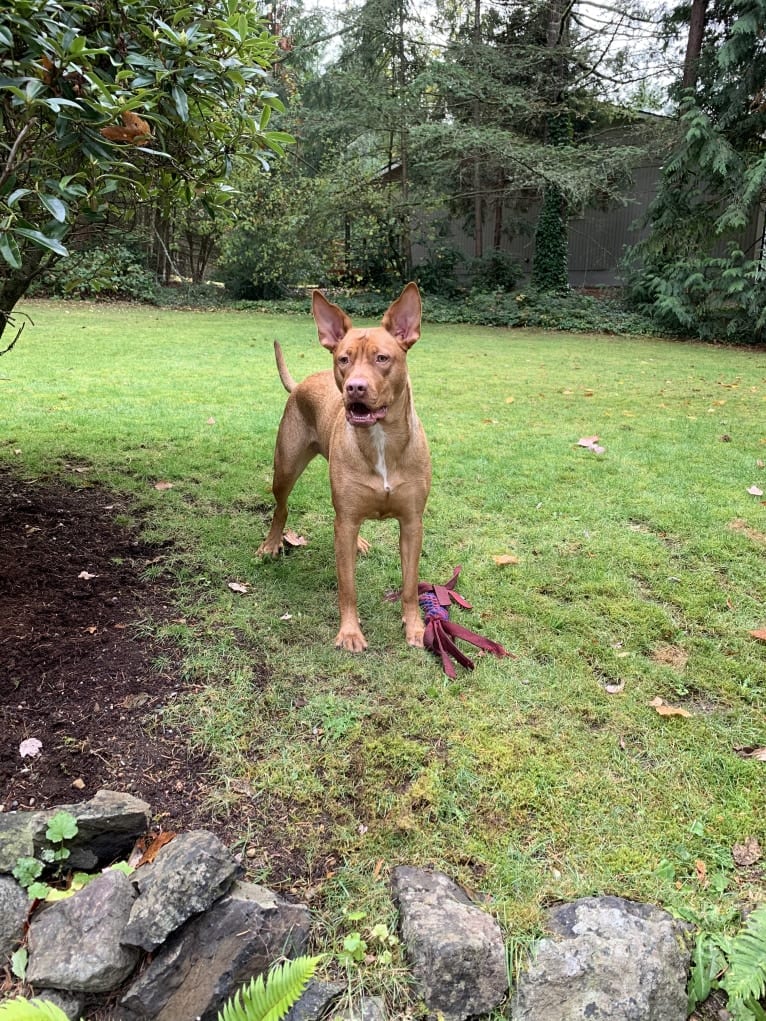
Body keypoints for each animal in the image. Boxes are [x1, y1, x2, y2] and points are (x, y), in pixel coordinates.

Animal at [258, 281, 433, 645]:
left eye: (382, 358)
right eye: (344, 359)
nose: (355, 387)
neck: (380, 441)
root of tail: (301, 384)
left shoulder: (412, 523)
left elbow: (410, 585)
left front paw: (415, 627)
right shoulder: (346, 521)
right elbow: (347, 586)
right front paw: (350, 632)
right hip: (285, 468)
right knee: (281, 507)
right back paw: (271, 543)